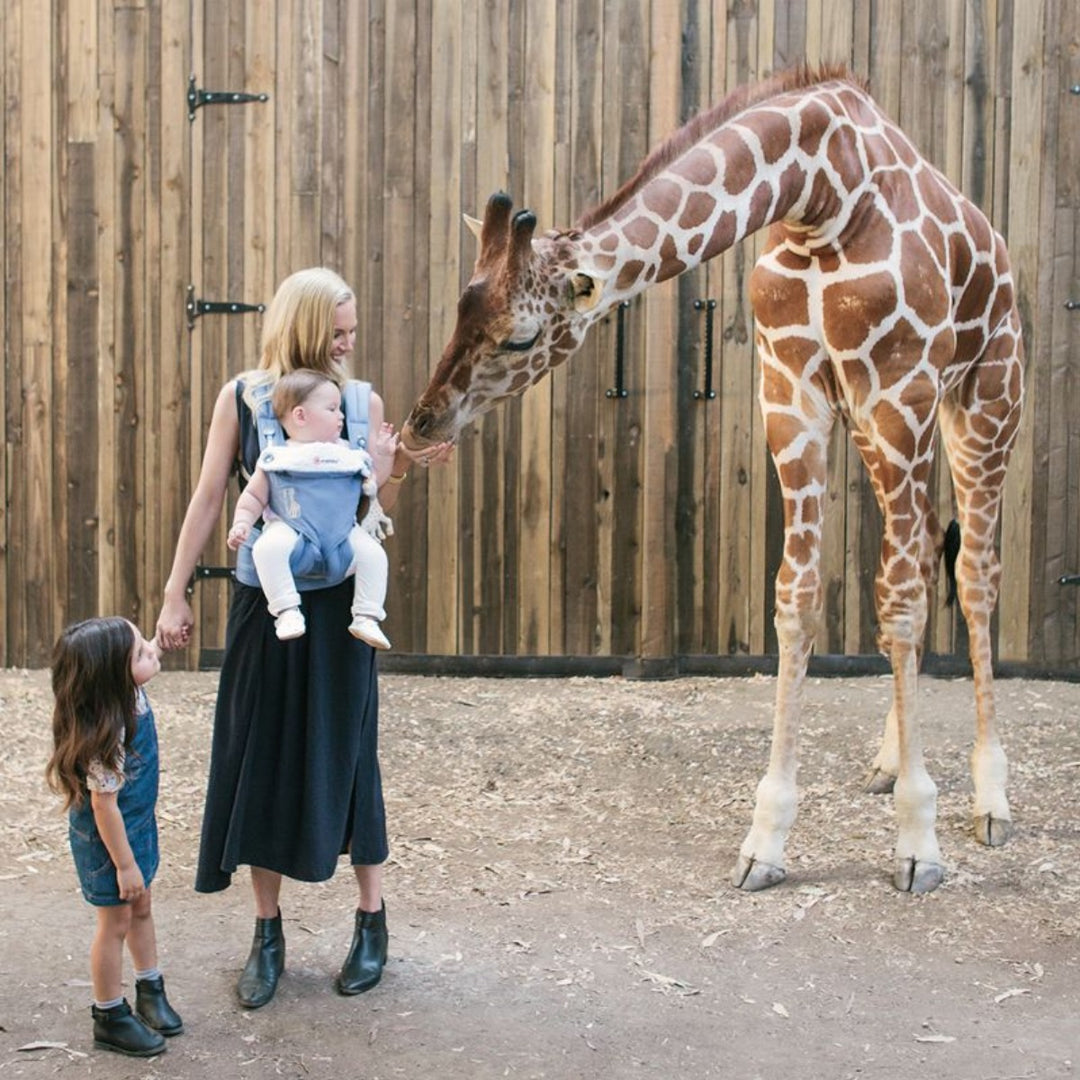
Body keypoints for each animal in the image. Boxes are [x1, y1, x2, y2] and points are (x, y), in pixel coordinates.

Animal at [403, 65, 1025, 894]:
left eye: (521, 336)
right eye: (459, 309)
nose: (421, 424)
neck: (822, 197)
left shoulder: (899, 389)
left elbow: (897, 605)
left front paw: (918, 844)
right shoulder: (792, 391)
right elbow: (798, 596)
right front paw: (767, 839)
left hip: (981, 401)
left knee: (975, 572)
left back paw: (992, 799)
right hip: (882, 426)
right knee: (925, 550)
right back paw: (889, 762)